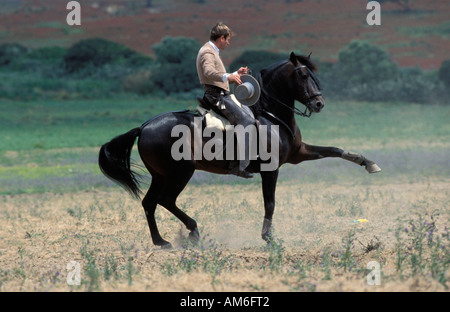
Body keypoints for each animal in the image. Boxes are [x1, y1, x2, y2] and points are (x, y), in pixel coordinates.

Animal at [97, 51, 380, 249]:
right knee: (165, 200)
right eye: (302, 76)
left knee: (150, 202)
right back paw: (193, 232)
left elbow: (334, 149)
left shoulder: (299, 153)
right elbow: (270, 203)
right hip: (180, 173)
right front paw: (268, 238)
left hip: (161, 175)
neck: (270, 115)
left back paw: (162, 241)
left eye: (312, 74)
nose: (319, 103)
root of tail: (144, 127)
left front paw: (368, 163)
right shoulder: (271, 169)